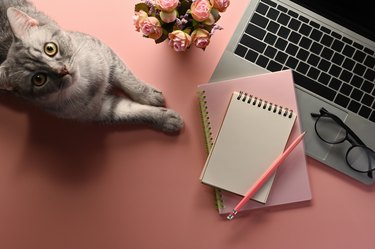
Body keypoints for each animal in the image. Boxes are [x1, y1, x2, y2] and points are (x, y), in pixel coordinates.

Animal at [0, 0, 184, 132]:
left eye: (50, 49)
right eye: (38, 79)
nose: (62, 70)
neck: (86, 83)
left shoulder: (105, 54)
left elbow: (129, 81)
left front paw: (149, 95)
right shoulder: (101, 110)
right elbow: (135, 112)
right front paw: (166, 120)